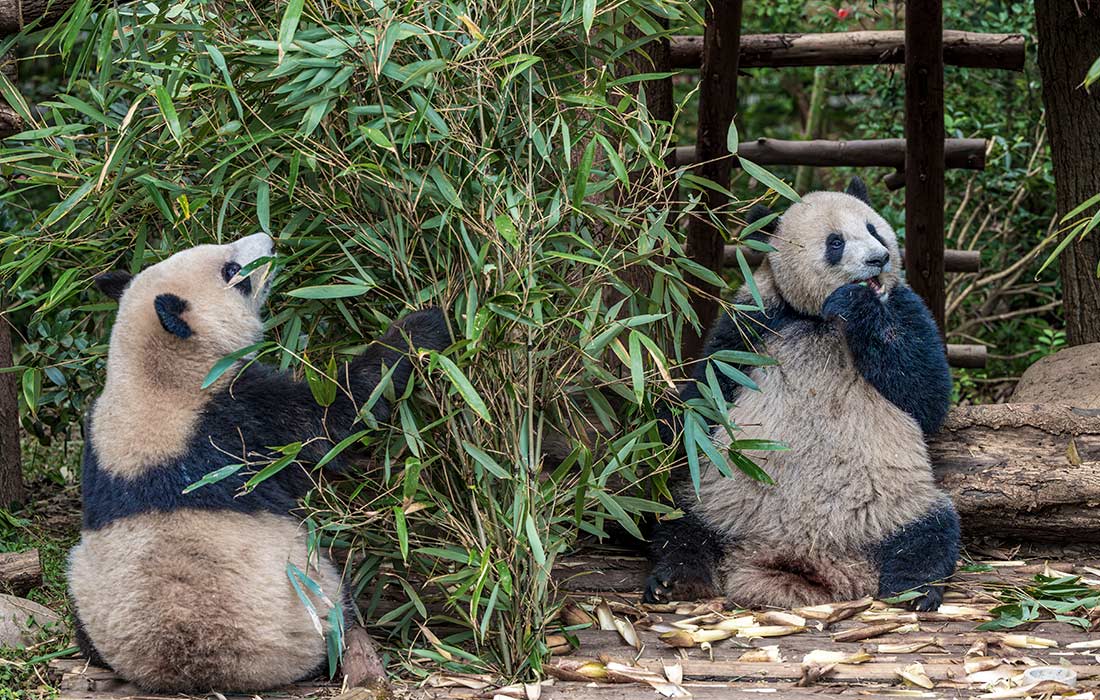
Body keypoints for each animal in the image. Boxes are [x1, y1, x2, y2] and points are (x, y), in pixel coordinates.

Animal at [66, 233, 451, 691]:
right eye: (232, 271)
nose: (267, 239)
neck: (152, 379)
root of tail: (198, 671)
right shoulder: (241, 417)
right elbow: (337, 414)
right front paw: (424, 326)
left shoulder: (98, 440)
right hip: (311, 603)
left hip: (87, 594)